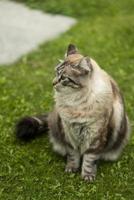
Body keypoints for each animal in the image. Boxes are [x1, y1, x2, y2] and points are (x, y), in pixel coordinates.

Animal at [16, 44, 130, 182]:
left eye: (64, 78)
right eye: (56, 72)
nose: (53, 83)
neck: (75, 102)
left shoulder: (95, 135)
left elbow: (89, 159)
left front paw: (87, 176)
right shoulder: (68, 132)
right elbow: (72, 156)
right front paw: (71, 169)